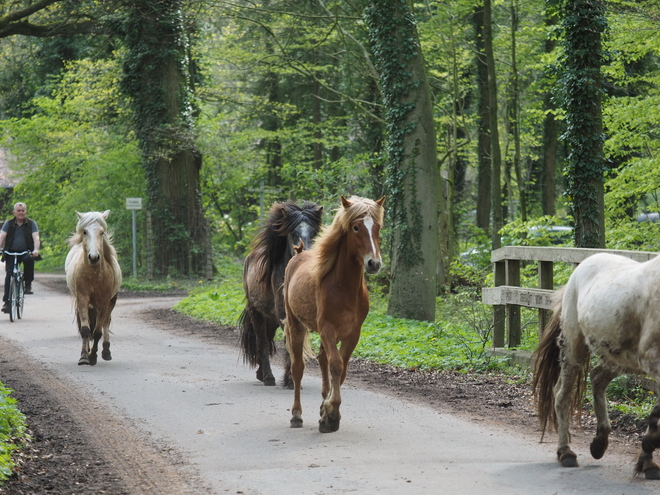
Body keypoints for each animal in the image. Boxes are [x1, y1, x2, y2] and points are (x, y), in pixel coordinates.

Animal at [65, 211, 122, 366]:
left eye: (102, 232)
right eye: (84, 231)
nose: (94, 257)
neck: (95, 273)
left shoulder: (104, 301)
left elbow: (98, 331)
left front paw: (93, 356)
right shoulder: (82, 298)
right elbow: (86, 329)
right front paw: (84, 356)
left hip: (111, 302)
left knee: (105, 323)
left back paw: (106, 352)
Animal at [238, 202, 324, 388]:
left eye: (314, 232)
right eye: (294, 232)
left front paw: (291, 379)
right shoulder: (285, 315)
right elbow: (290, 344)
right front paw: (291, 380)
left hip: (270, 317)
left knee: (268, 338)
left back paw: (261, 373)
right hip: (256, 312)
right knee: (262, 342)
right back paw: (268, 377)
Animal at [284, 196, 386, 432]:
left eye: (378, 227)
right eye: (356, 227)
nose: (374, 263)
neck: (344, 288)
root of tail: (299, 254)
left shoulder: (353, 334)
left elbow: (342, 369)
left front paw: (327, 411)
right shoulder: (328, 330)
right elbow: (337, 366)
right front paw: (331, 416)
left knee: (323, 360)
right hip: (296, 325)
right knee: (298, 368)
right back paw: (296, 415)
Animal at [532, 254, 660, 478]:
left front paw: (647, 462)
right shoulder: (652, 360)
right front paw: (648, 453)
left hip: (619, 357)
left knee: (597, 378)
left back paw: (599, 443)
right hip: (573, 349)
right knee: (562, 395)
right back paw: (566, 453)